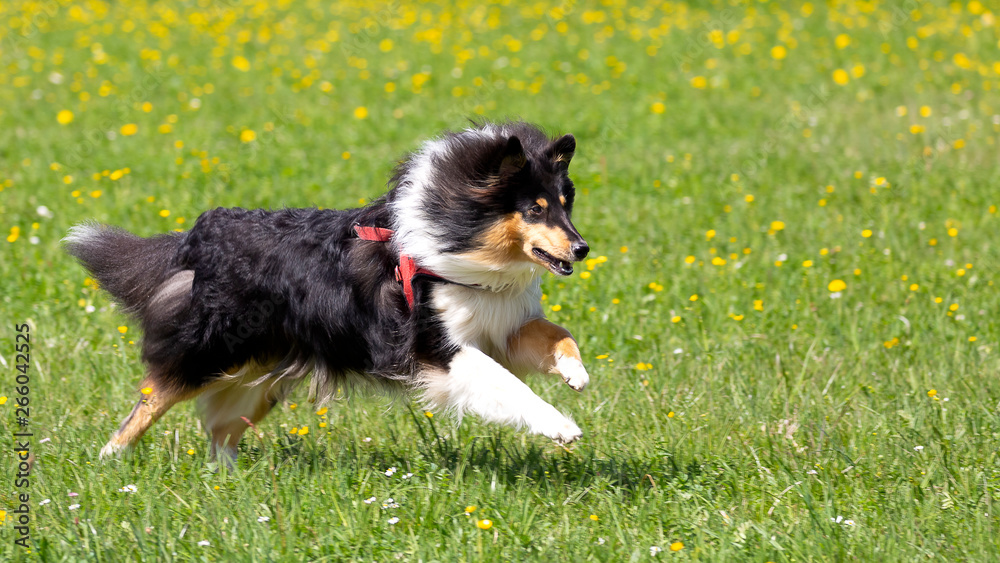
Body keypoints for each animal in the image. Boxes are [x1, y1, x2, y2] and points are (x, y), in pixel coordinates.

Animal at [66, 121, 588, 464]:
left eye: (565, 204)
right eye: (535, 208)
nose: (582, 248)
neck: (459, 244)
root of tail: (198, 236)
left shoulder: (504, 325)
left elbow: (556, 333)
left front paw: (576, 373)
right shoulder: (438, 348)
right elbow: (508, 385)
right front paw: (561, 426)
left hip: (261, 372)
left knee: (220, 430)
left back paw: (227, 481)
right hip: (212, 350)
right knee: (152, 397)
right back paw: (110, 459)